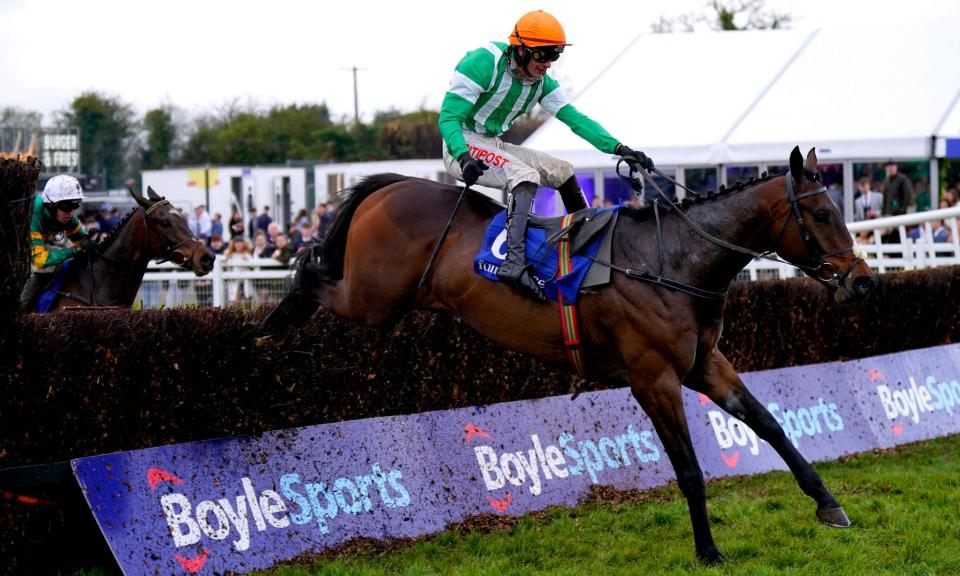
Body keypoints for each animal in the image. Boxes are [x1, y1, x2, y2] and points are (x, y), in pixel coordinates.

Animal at [262, 146, 876, 564]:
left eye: (839, 208)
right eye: (823, 215)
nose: (863, 282)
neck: (672, 261)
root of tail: (391, 186)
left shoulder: (706, 363)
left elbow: (772, 426)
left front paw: (828, 504)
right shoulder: (653, 378)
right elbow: (689, 470)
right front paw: (708, 551)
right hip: (372, 300)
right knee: (312, 269)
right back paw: (270, 325)